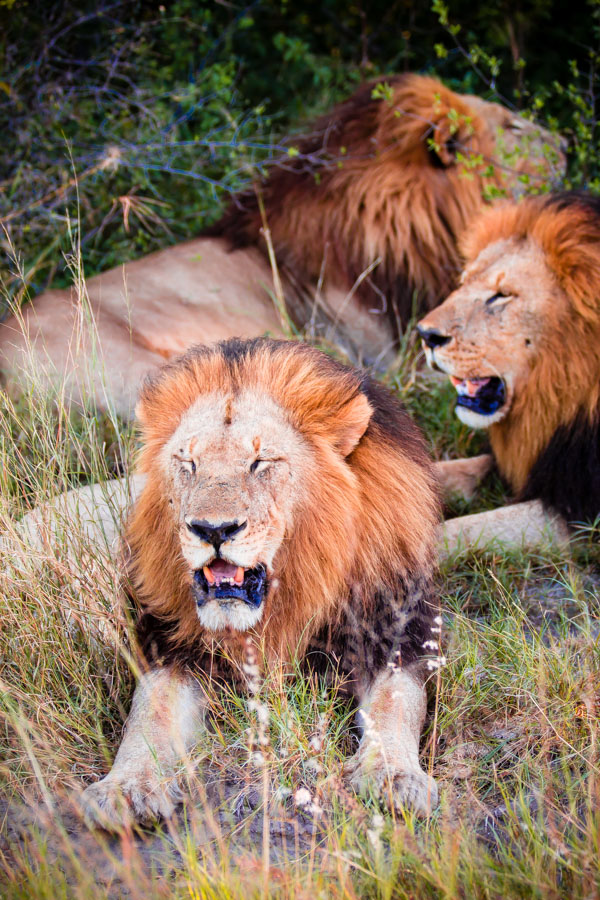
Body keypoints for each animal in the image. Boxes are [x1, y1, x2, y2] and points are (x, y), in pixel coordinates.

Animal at [79, 340, 442, 828]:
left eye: (260, 462)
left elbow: (396, 703)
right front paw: (125, 787)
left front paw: (393, 776)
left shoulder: (394, 630)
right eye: (188, 463)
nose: (213, 530)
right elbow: (149, 714)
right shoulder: (171, 646)